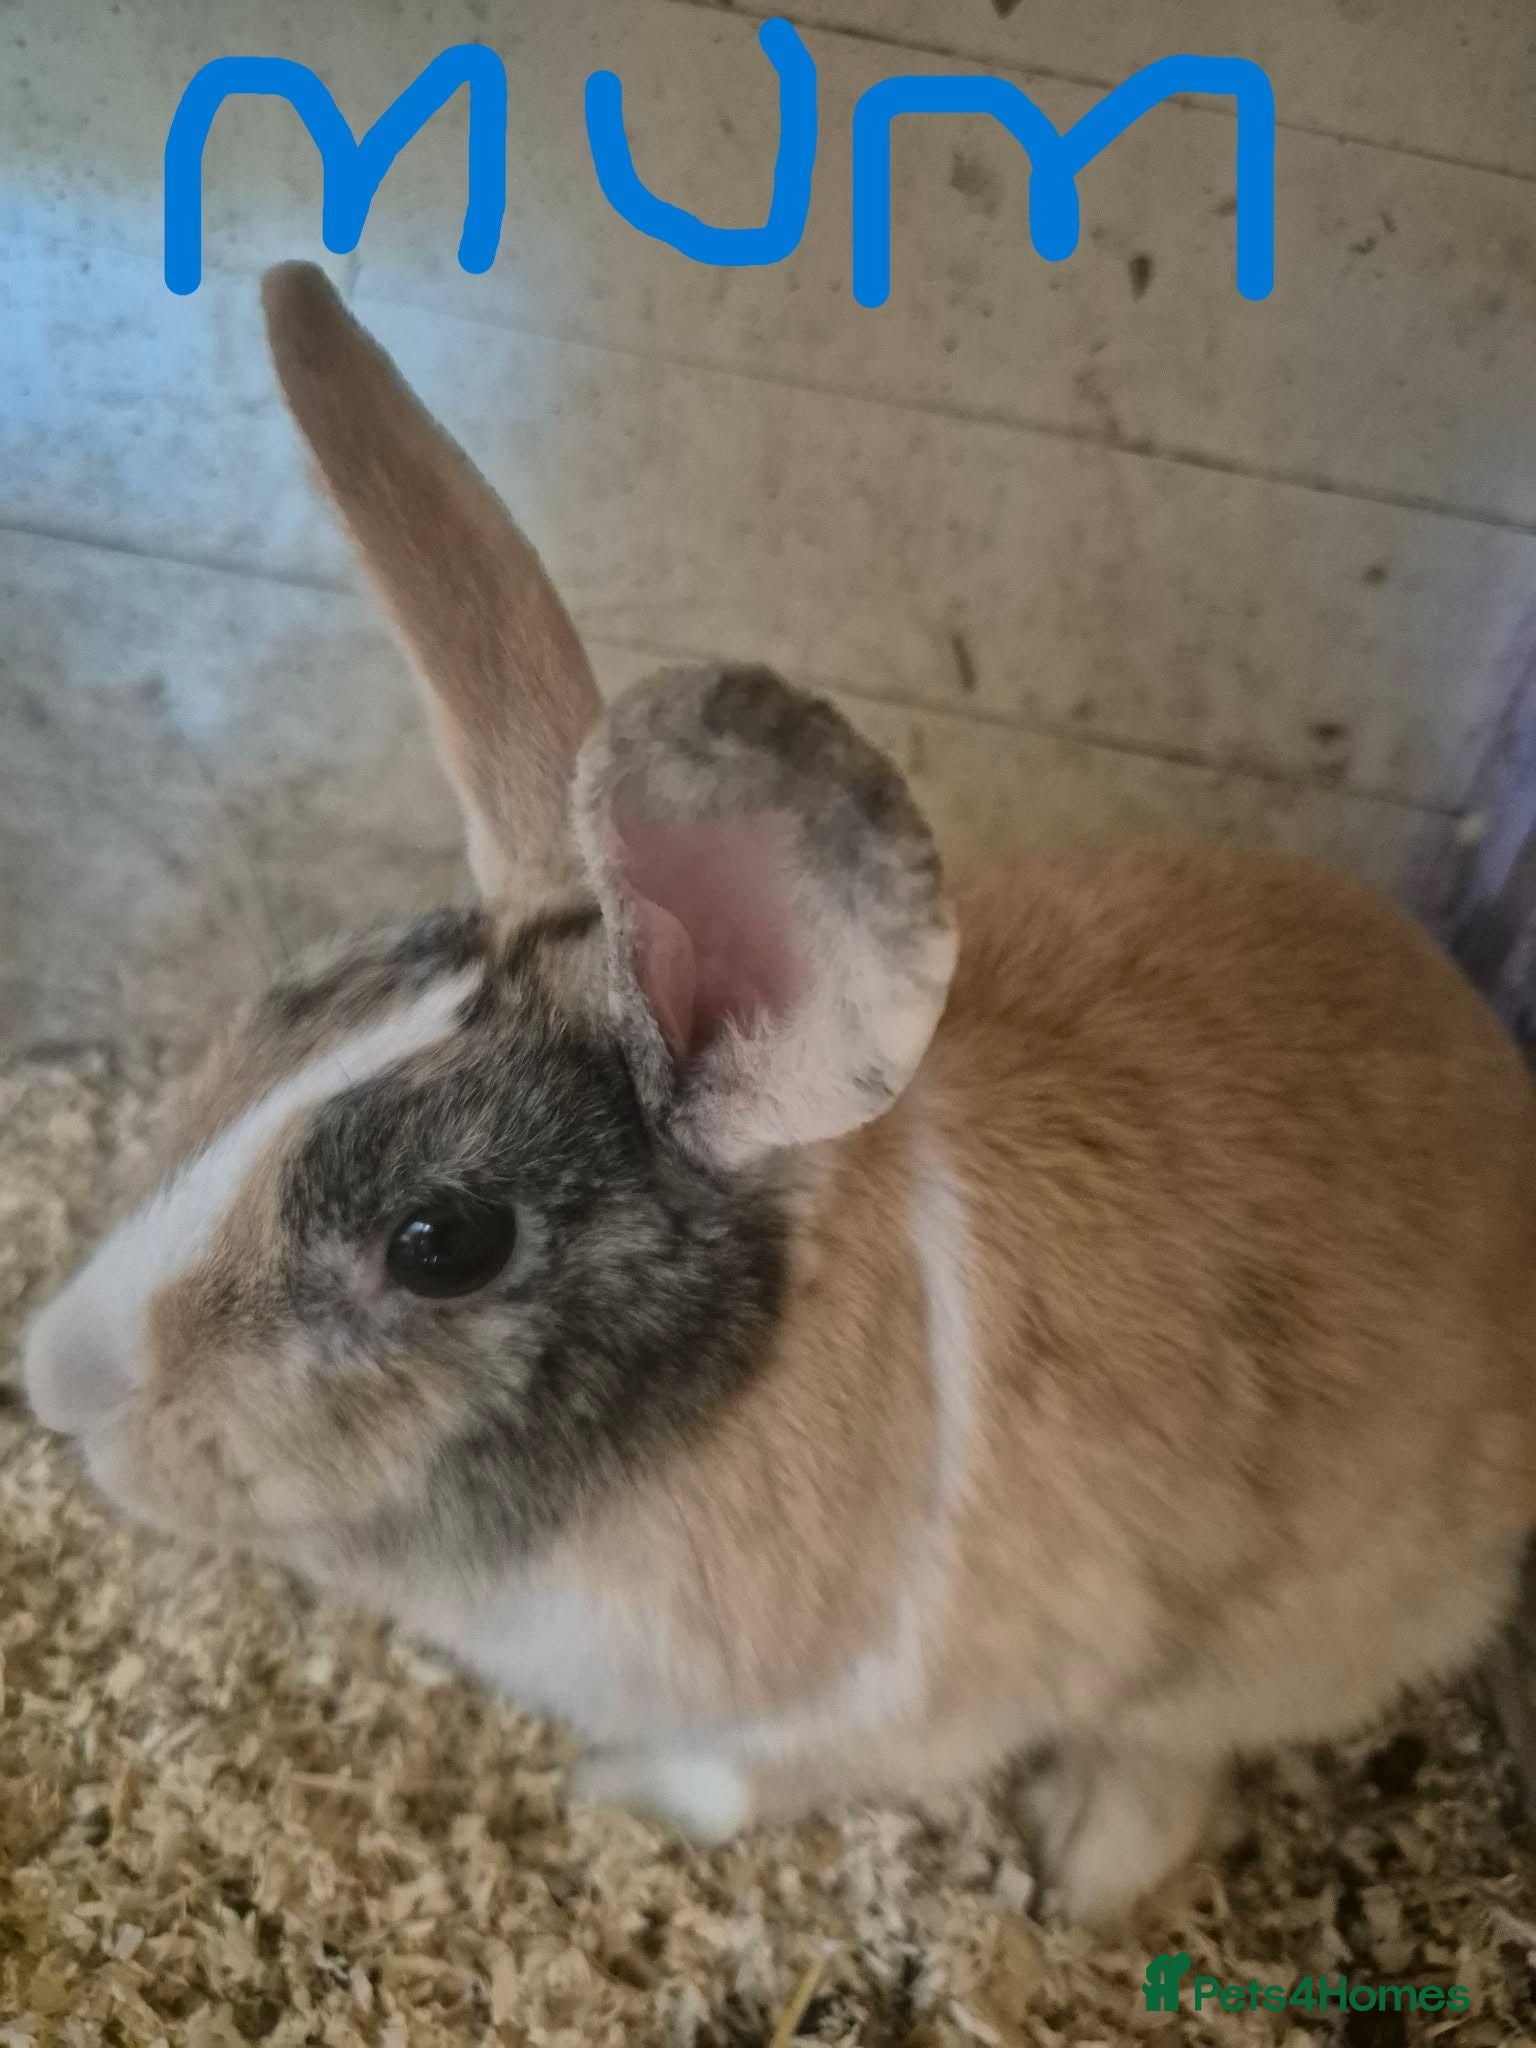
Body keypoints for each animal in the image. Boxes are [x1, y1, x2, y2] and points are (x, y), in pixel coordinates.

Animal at [22, 261, 1536, 1925]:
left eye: (442, 1242)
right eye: (280, 1006)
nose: (58, 1379)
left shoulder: (914, 1700)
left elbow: (736, 1779)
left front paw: (605, 1795)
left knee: (1176, 1756)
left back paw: (1082, 1870)